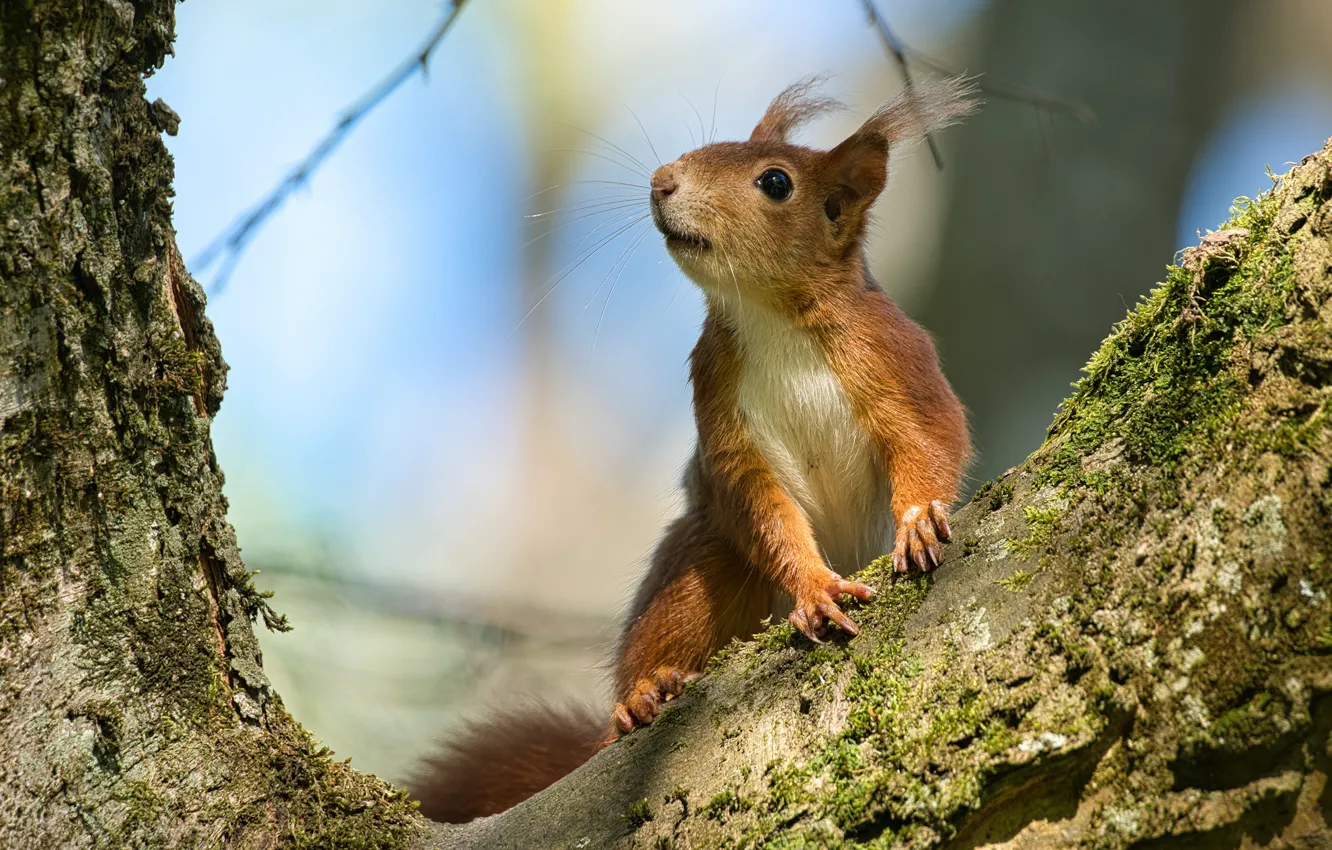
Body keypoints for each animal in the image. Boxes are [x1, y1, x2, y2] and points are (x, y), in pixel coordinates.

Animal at [410, 76, 976, 824]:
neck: (768, 314)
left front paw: (917, 521)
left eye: (775, 182)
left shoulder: (894, 355)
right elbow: (754, 498)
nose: (661, 181)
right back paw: (641, 697)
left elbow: (930, 434)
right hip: (703, 560)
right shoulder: (719, 403)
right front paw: (815, 584)